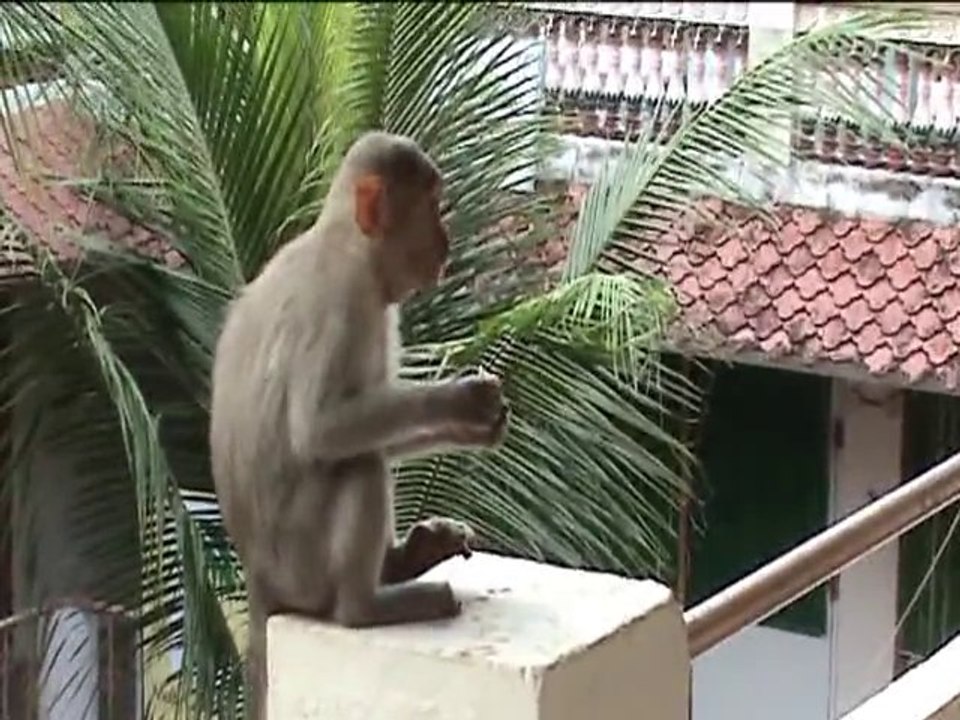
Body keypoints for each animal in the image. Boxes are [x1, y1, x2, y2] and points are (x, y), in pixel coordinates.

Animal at [209, 131, 509, 719]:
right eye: (430, 204)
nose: (445, 240)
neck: (348, 246)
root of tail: (259, 578)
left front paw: (474, 428)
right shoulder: (341, 302)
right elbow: (322, 430)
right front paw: (461, 402)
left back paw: (399, 563)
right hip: (301, 560)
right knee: (360, 465)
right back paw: (365, 606)